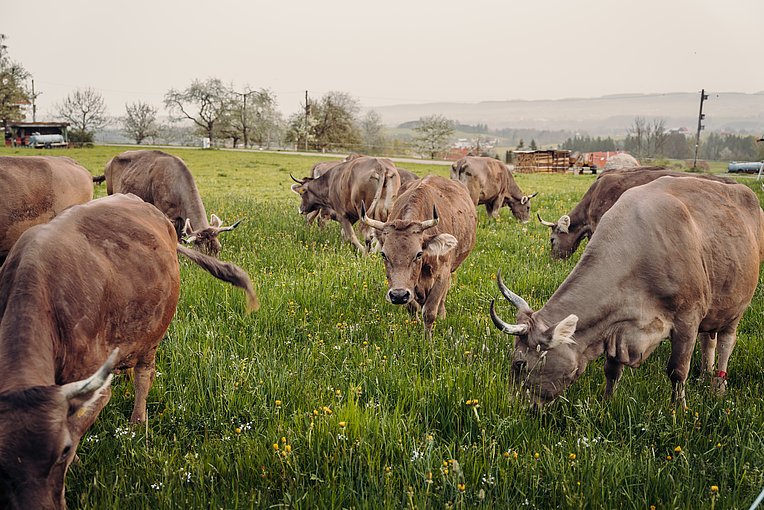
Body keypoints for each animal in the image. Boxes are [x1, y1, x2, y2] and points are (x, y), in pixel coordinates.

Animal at [360, 175, 478, 334]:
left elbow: (429, 311)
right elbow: (412, 307)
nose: (398, 295)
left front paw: (427, 338)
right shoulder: (411, 287)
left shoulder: (442, 275)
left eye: (418, 254)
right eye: (383, 254)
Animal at [492, 177, 760, 408]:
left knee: (726, 342)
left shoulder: (688, 318)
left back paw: (718, 387)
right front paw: (606, 405)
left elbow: (677, 370)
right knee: (708, 339)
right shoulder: (616, 328)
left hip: (736, 306)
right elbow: (612, 370)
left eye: (519, 363)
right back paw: (705, 375)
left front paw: (679, 411)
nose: (513, 406)